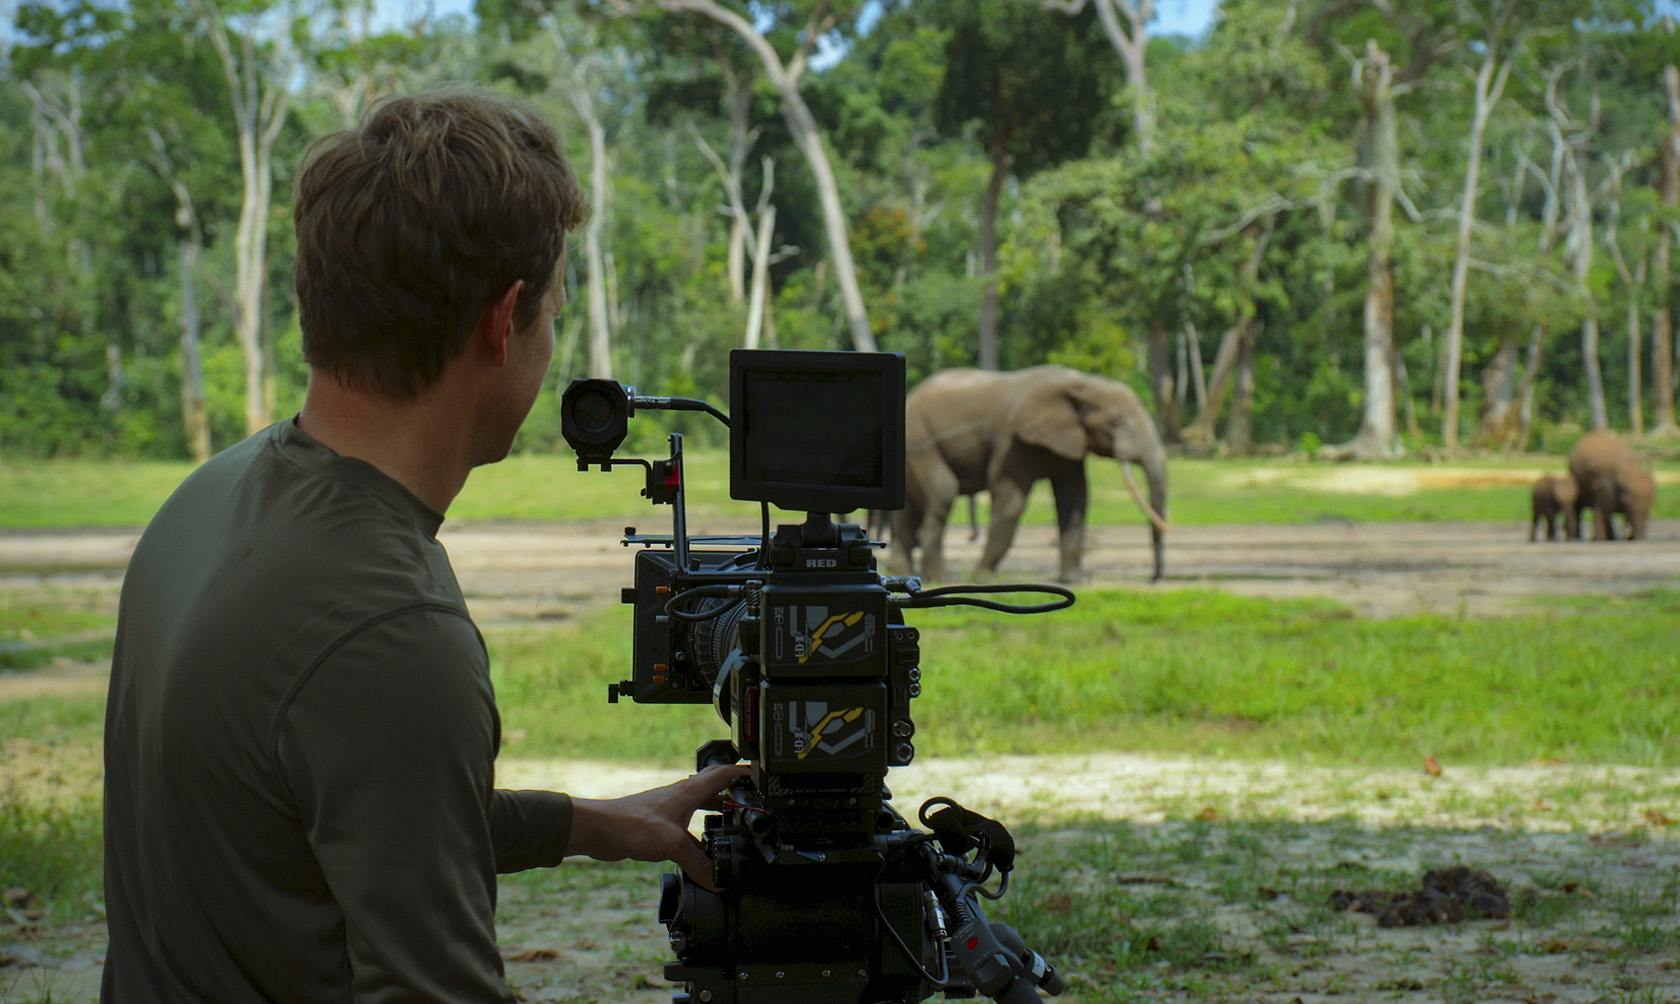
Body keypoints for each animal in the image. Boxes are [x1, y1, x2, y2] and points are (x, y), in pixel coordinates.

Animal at [887, 367, 1176, 587]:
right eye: (1115, 423)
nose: (1153, 580)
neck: (1081, 383)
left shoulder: (1068, 444)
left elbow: (1074, 499)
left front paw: (1073, 581)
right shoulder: (1013, 438)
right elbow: (1011, 500)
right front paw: (982, 579)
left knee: (909, 513)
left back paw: (902, 575)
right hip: (920, 443)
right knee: (943, 493)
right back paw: (940, 579)